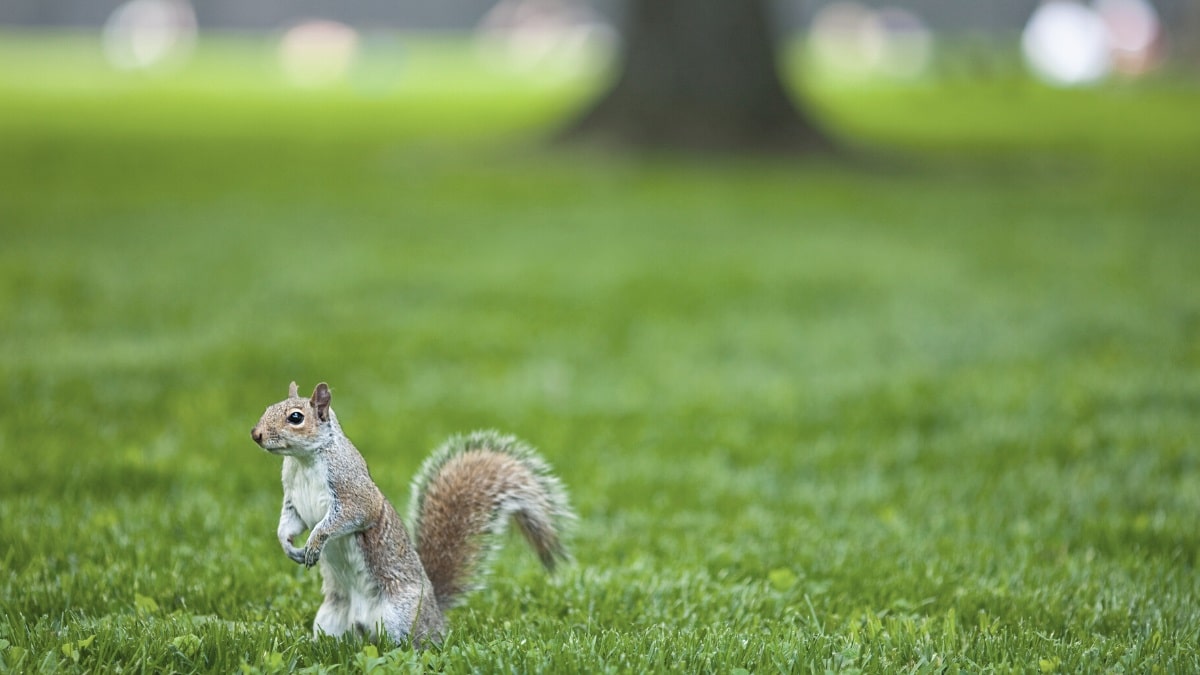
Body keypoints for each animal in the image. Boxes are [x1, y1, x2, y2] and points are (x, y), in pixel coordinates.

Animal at [246, 381, 573, 643]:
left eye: (296, 417)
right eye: (268, 407)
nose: (256, 434)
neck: (302, 460)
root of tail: (435, 612)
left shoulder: (354, 494)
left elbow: (344, 518)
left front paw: (315, 543)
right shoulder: (293, 501)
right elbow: (290, 523)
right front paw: (289, 546)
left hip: (399, 616)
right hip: (331, 618)